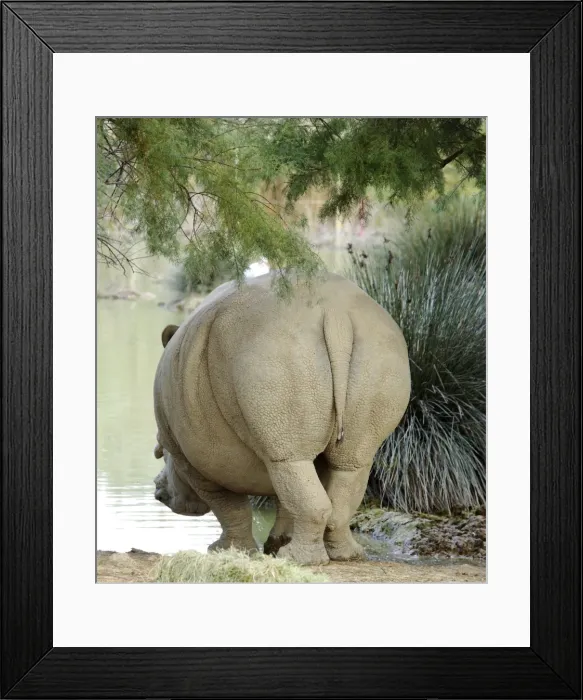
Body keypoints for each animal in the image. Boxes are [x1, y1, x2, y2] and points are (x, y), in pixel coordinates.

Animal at [153, 270, 410, 565]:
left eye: (160, 453)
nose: (156, 489)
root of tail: (336, 315)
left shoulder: (194, 459)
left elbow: (230, 507)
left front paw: (225, 551)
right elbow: (287, 498)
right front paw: (275, 545)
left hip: (273, 354)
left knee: (292, 465)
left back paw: (299, 560)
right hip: (376, 355)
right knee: (349, 466)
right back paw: (346, 556)